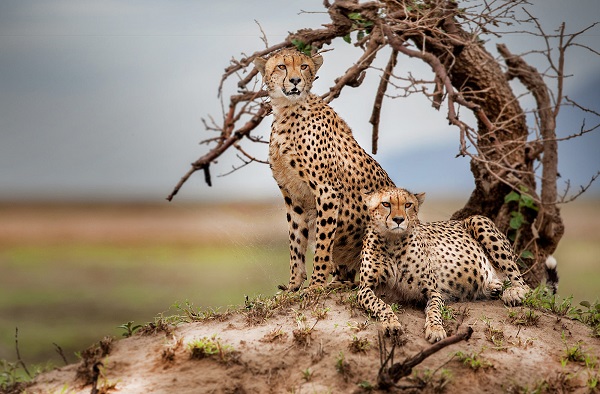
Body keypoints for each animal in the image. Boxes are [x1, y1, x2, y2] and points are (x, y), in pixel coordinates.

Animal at [252, 48, 396, 290]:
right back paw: (338, 282)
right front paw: (293, 286)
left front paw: (316, 284)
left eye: (304, 66)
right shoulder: (292, 195)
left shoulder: (326, 189)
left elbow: (322, 241)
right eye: (282, 66)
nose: (295, 80)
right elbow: (296, 242)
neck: (287, 110)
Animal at [356, 186, 528, 344]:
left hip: (477, 220)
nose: (399, 220)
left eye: (408, 205)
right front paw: (391, 323)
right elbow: (381, 304)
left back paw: (513, 293)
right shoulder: (364, 289)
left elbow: (434, 311)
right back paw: (493, 288)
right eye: (386, 204)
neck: (392, 241)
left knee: (523, 284)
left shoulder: (433, 292)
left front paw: (435, 329)